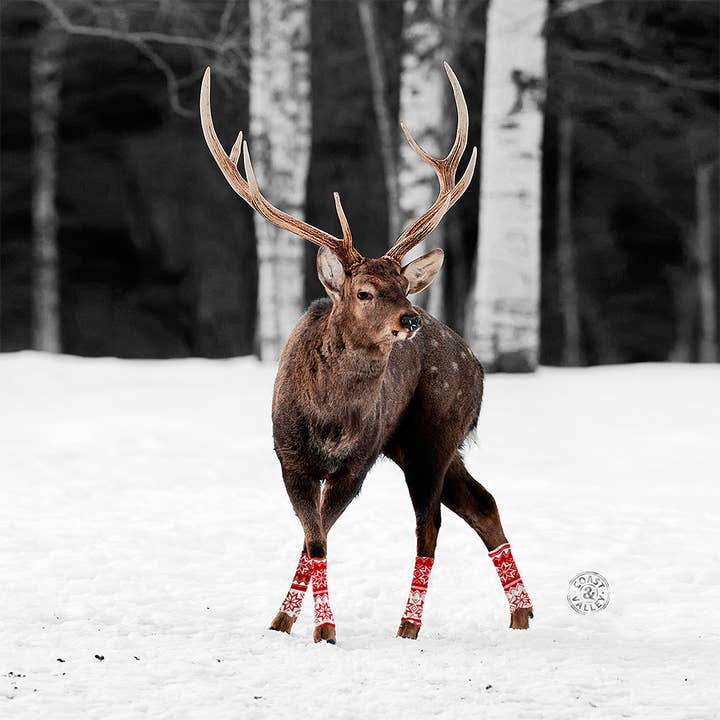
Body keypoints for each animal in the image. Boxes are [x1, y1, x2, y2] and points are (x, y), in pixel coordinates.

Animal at [200, 63, 533, 644]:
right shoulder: (289, 457)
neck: (329, 420)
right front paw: (286, 623)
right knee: (481, 502)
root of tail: (476, 364)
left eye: (403, 286)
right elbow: (312, 538)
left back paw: (410, 626)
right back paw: (520, 615)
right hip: (418, 442)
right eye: (364, 292)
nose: (411, 318)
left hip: (432, 433)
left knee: (430, 524)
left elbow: (318, 537)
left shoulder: (357, 462)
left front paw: (323, 630)